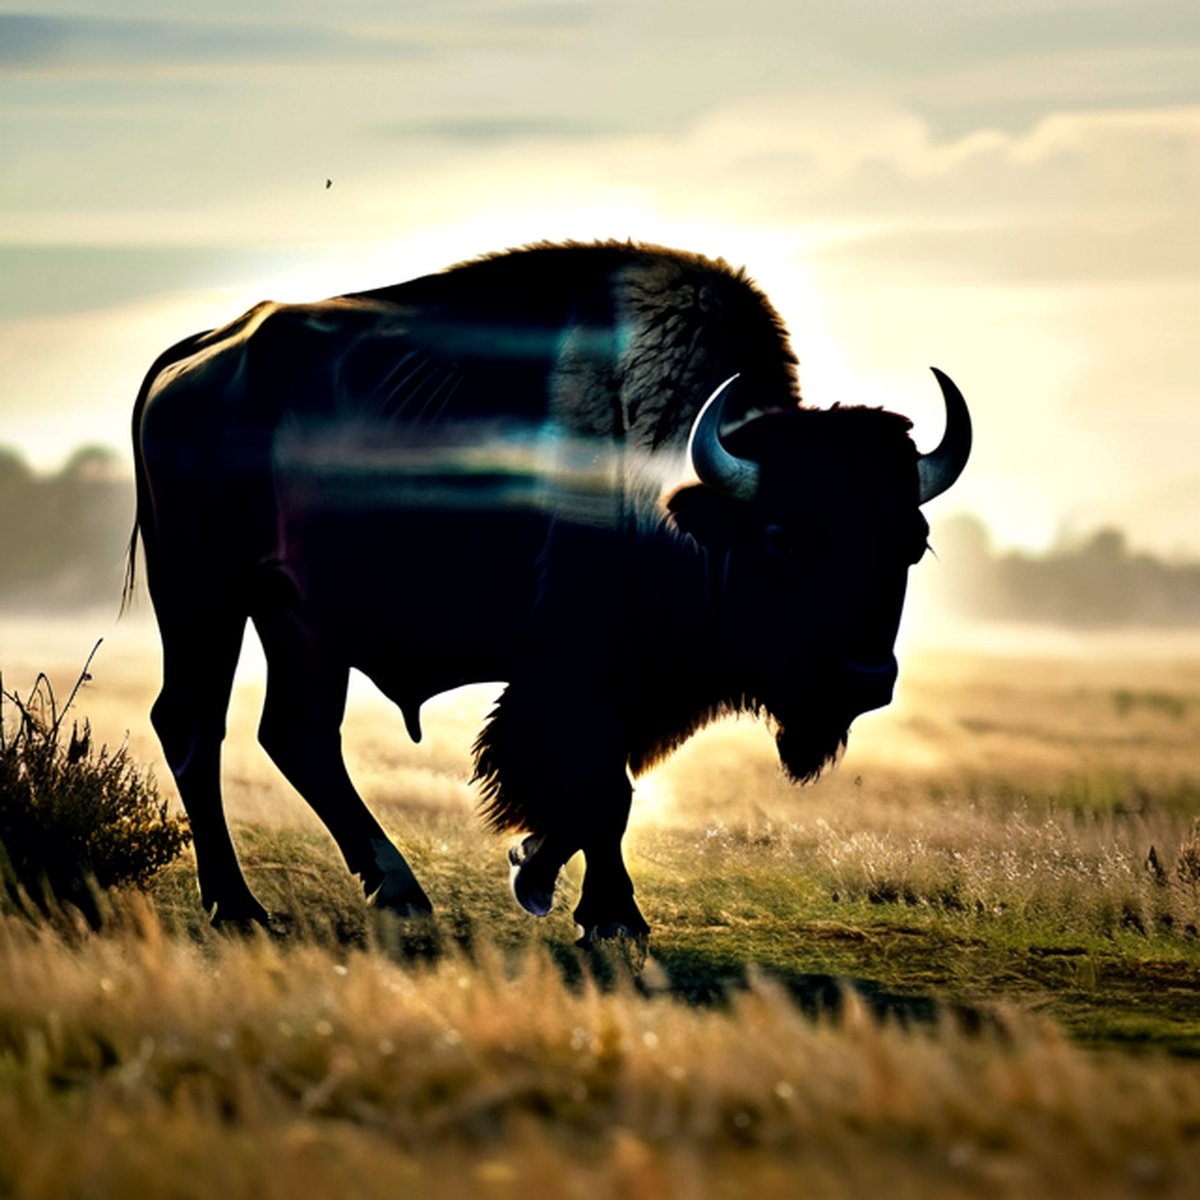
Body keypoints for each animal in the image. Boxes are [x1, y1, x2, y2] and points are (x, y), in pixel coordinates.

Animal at [126, 240, 970, 941]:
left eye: (913, 543)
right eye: (780, 537)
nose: (866, 677)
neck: (681, 497)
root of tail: (191, 359)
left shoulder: (627, 684)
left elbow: (602, 791)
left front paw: (539, 869)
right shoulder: (573, 674)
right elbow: (599, 789)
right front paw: (602, 913)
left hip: (297, 621)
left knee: (297, 735)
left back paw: (397, 893)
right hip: (204, 597)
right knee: (194, 726)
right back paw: (240, 906)